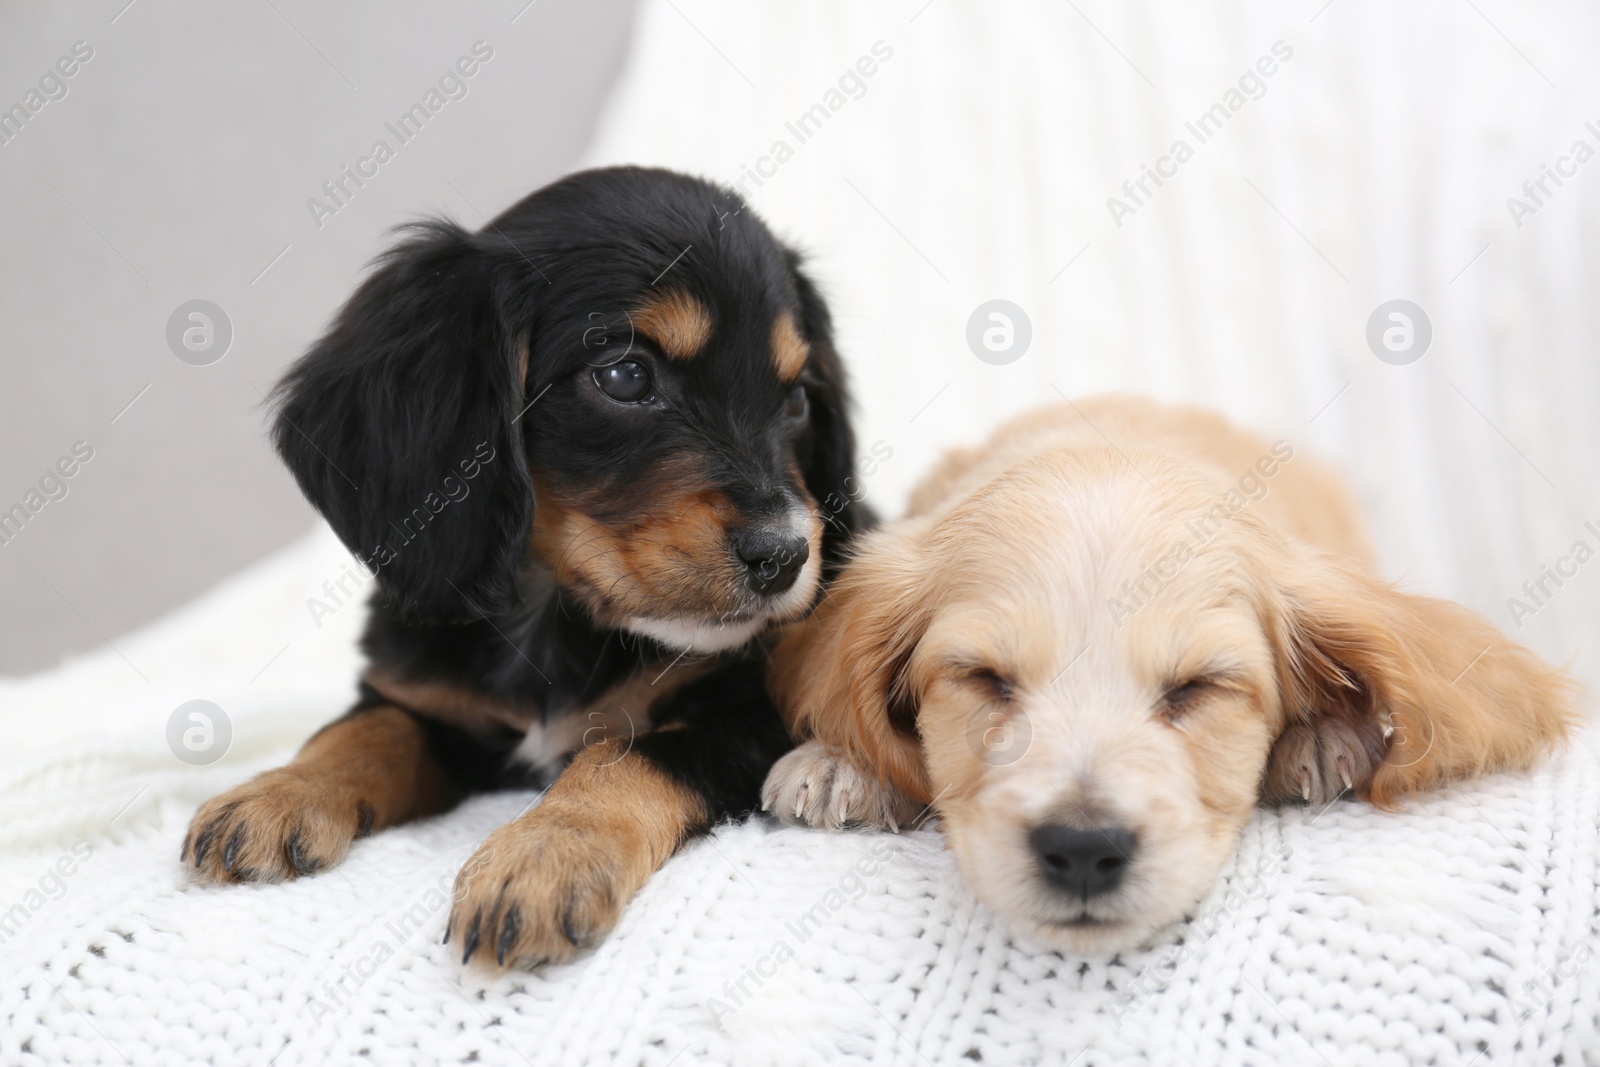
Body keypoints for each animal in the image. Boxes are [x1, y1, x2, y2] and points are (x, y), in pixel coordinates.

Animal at [181, 164, 870, 966]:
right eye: (626, 375)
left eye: (795, 398)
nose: (786, 555)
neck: (551, 617)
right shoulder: (432, 699)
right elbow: (364, 728)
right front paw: (277, 792)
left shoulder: (747, 707)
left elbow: (624, 754)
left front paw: (547, 853)